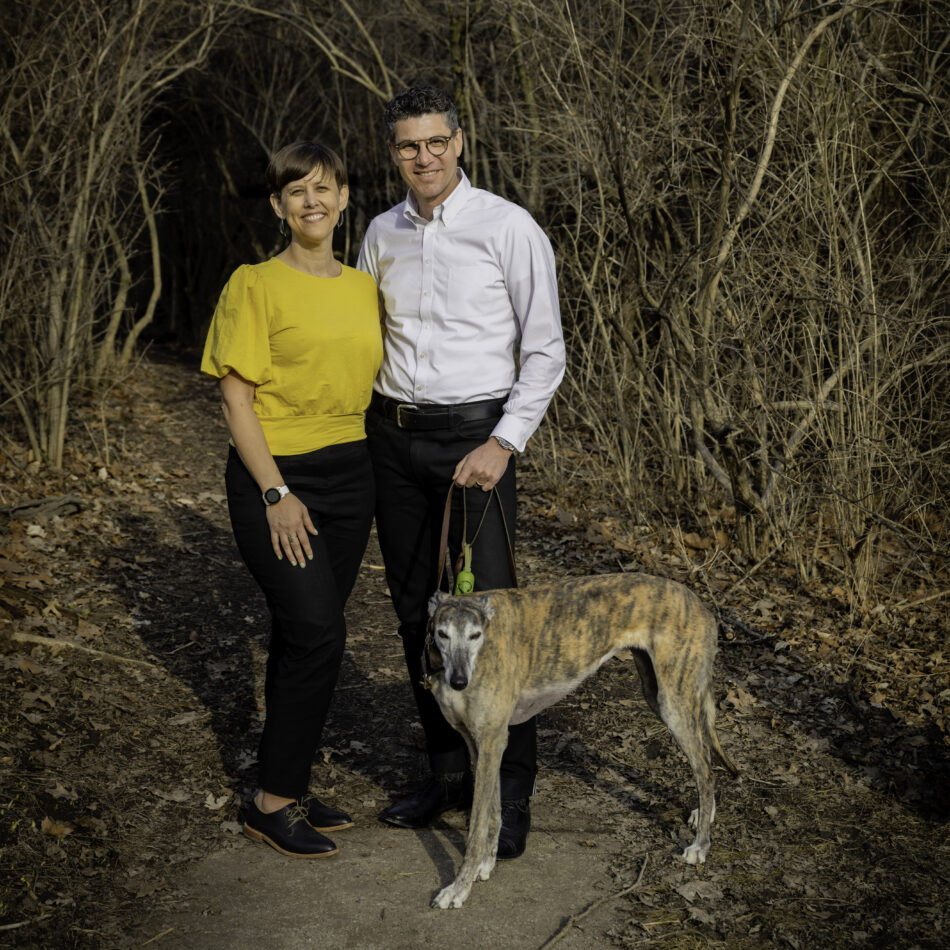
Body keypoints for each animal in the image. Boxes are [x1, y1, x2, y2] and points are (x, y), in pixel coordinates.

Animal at [424, 568, 744, 912]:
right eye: (442, 634)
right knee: (705, 758)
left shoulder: (491, 741)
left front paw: (458, 888)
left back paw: (701, 845)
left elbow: (476, 827)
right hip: (658, 693)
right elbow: (493, 811)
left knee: (705, 770)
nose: (459, 682)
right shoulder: (481, 743)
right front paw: (486, 864)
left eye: (475, 635)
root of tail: (701, 607)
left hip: (674, 703)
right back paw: (706, 813)